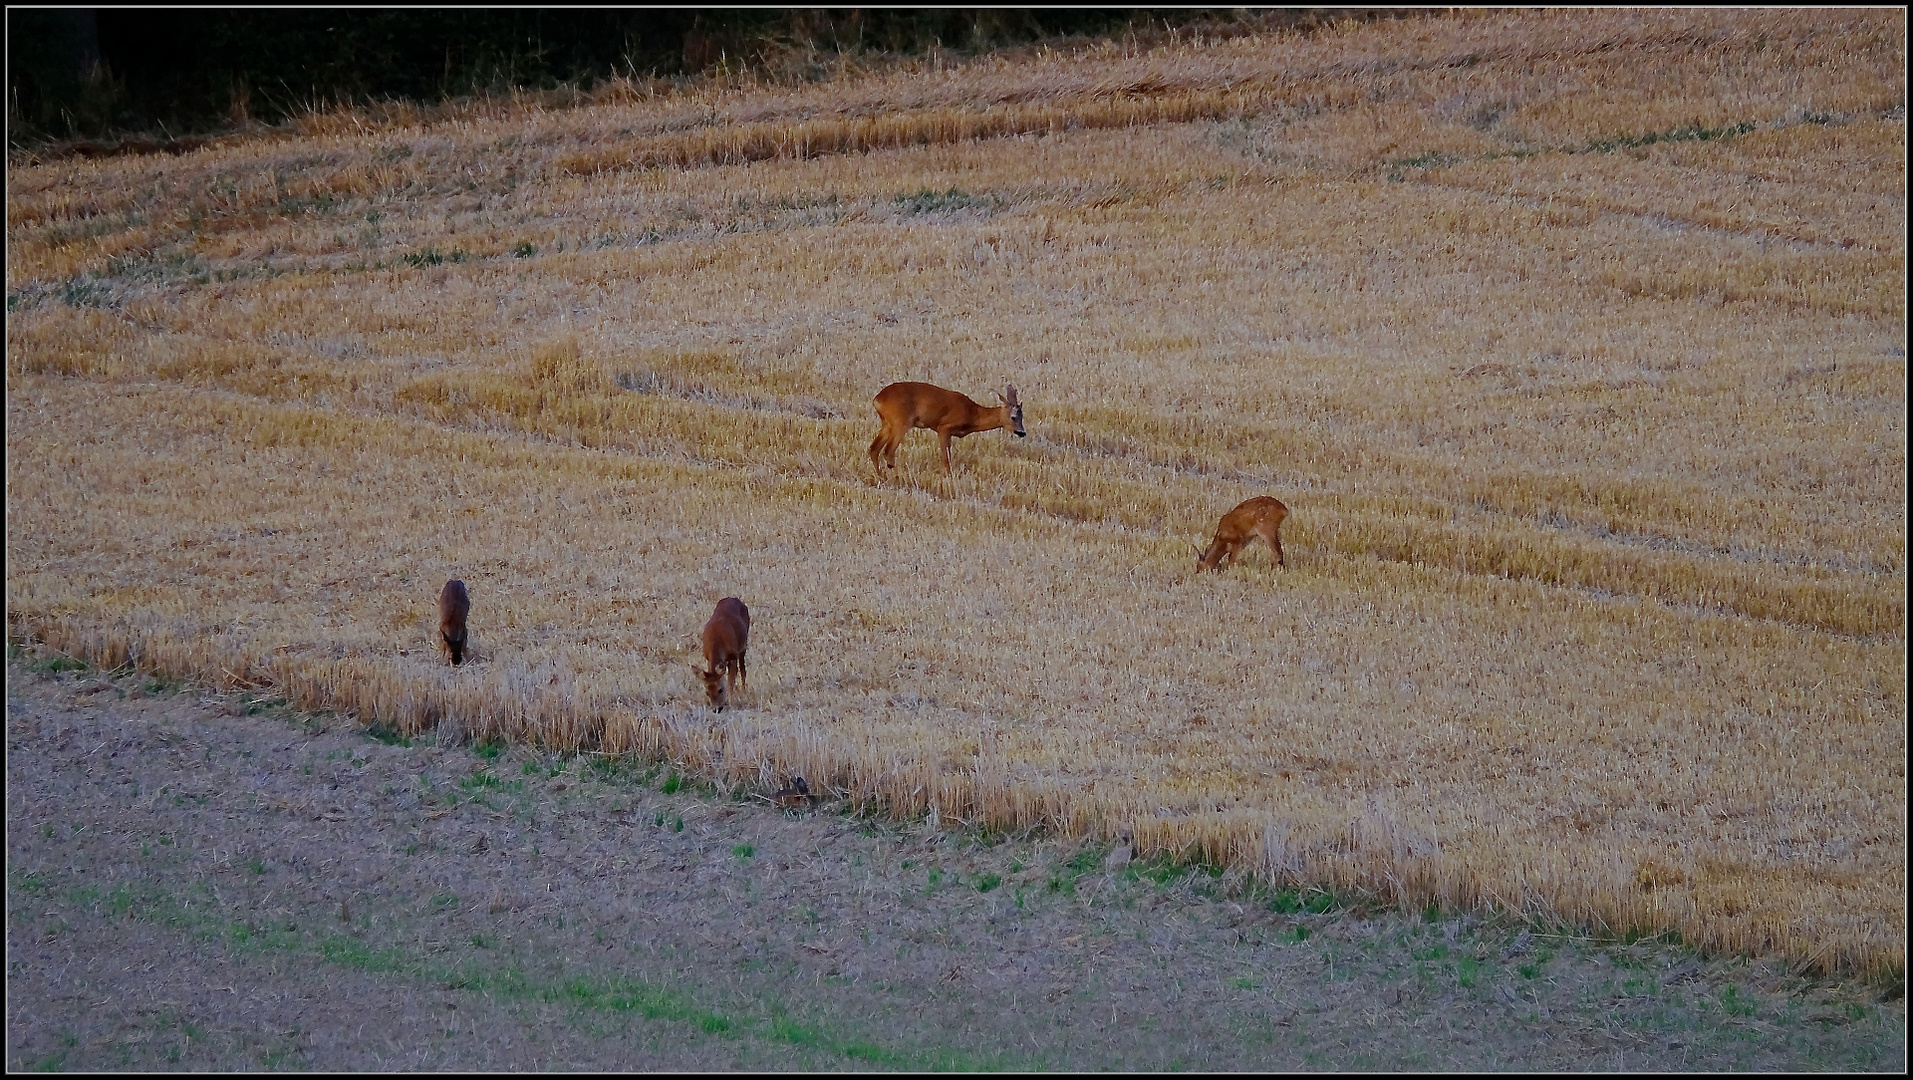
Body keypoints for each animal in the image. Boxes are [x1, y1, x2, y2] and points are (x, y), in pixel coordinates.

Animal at [868, 382, 1025, 475]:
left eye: (1022, 416)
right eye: (1013, 417)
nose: (1022, 432)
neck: (973, 414)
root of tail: (877, 400)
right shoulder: (944, 428)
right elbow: (946, 457)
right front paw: (950, 476)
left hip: (887, 422)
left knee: (874, 448)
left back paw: (881, 476)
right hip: (901, 421)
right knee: (888, 451)